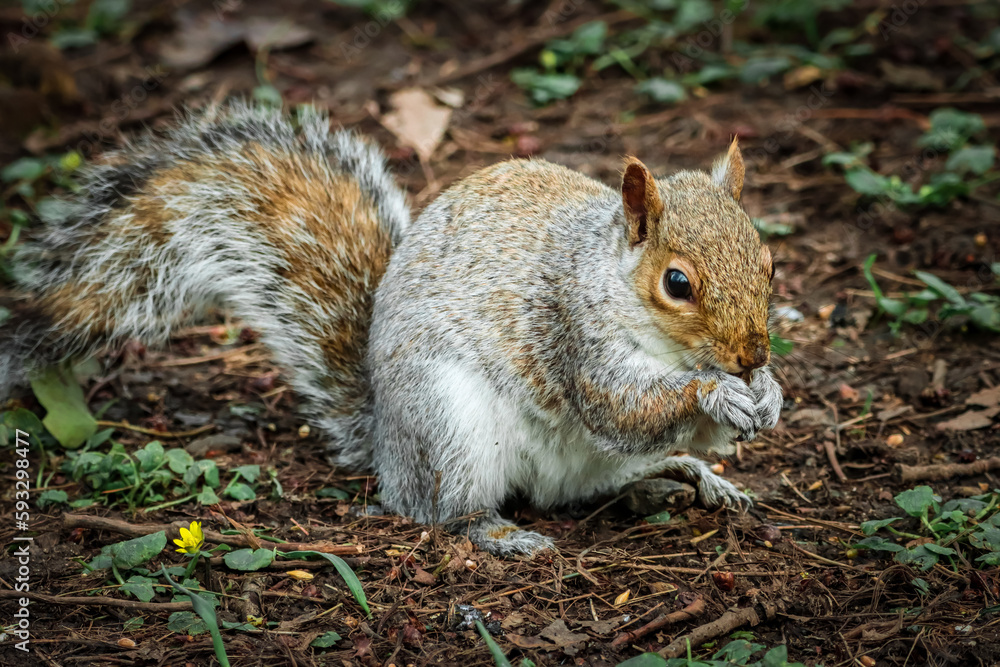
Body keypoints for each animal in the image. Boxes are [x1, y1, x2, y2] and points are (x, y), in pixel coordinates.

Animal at [1, 102, 783, 556]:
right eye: (676, 283)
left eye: (769, 259)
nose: (751, 354)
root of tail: (385, 442)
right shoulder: (572, 332)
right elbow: (620, 406)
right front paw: (715, 395)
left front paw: (766, 394)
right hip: (450, 427)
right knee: (446, 511)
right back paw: (503, 533)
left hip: (565, 461)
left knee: (599, 482)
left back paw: (686, 476)